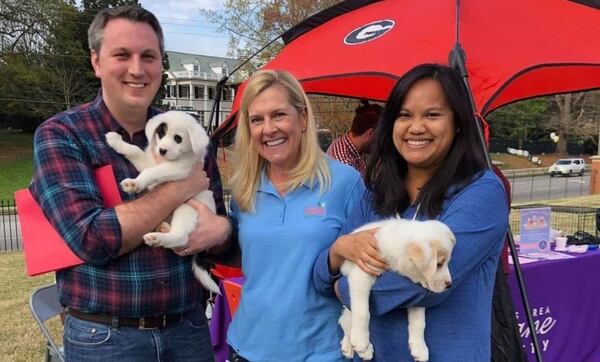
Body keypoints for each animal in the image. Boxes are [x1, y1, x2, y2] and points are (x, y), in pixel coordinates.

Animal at [105, 110, 220, 294]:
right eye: (161, 133)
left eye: (178, 138)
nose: (162, 150)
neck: (169, 160)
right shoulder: (148, 161)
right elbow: (136, 151)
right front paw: (116, 140)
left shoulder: (178, 169)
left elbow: (152, 172)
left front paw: (135, 183)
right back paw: (163, 228)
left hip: (186, 208)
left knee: (181, 237)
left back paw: (158, 238)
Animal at [338, 218, 454, 362]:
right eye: (438, 264)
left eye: (446, 262)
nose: (449, 284)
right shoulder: (361, 274)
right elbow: (362, 312)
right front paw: (361, 340)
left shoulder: (418, 299)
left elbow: (419, 323)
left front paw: (419, 348)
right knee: (345, 320)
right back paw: (361, 347)